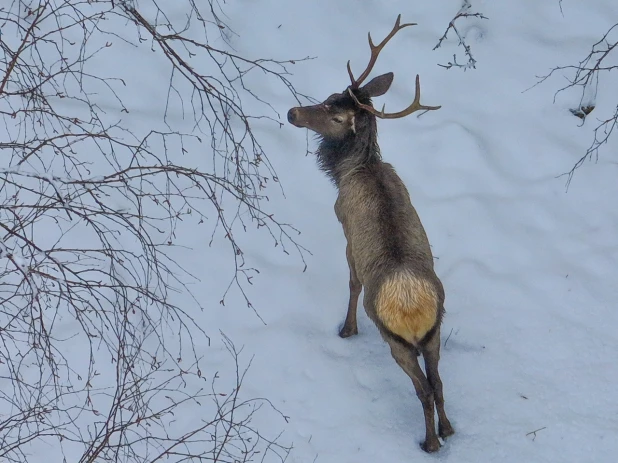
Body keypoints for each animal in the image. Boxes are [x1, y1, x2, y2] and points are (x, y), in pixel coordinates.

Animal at [288, 14, 452, 454]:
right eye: (330, 95)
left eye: (333, 112)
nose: (293, 112)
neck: (352, 170)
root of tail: (415, 308)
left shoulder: (343, 226)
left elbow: (352, 283)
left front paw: (345, 330)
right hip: (435, 332)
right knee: (439, 381)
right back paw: (448, 430)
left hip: (396, 340)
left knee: (424, 389)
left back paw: (430, 443)